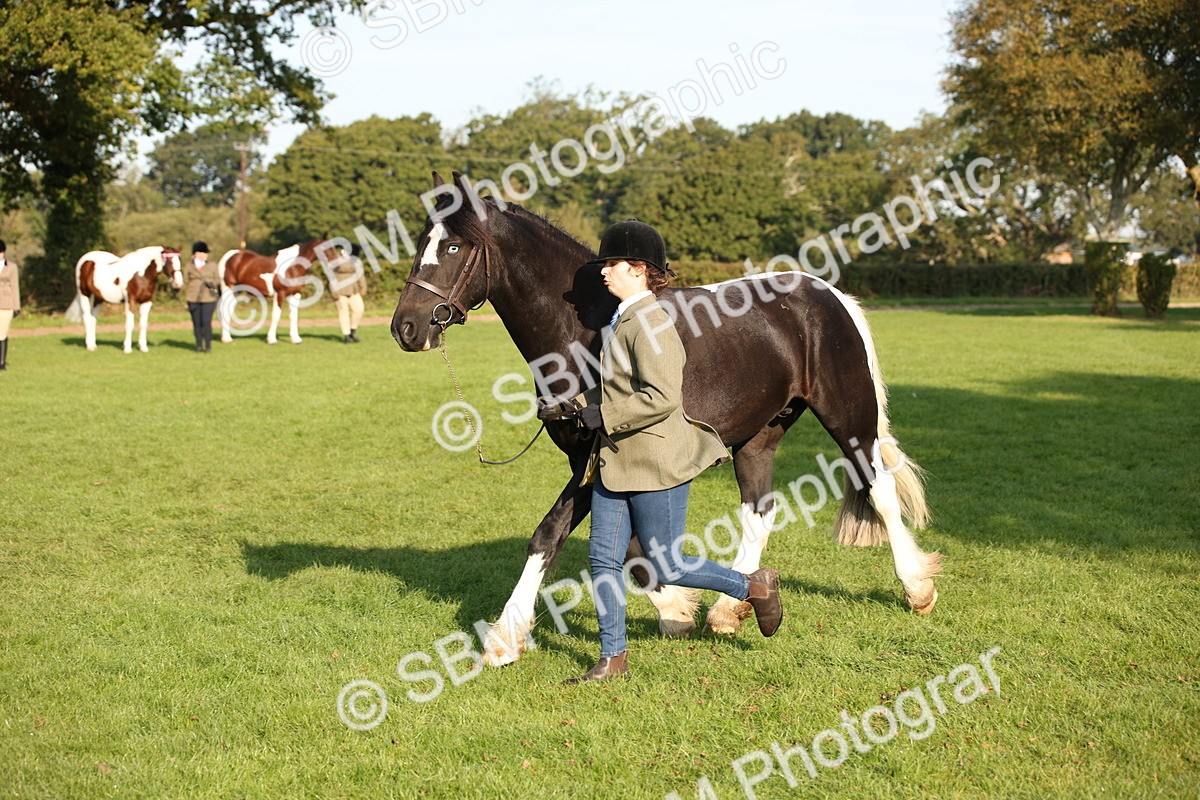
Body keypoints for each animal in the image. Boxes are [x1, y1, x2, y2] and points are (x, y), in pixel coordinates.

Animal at [391, 172, 941, 667]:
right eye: (420, 242)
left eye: (455, 246)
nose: (406, 327)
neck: (585, 332)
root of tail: (829, 295)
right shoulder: (599, 464)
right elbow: (635, 546)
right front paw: (677, 610)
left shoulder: (596, 460)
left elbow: (550, 533)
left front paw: (504, 637)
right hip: (759, 435)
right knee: (759, 511)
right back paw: (729, 609)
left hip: (849, 419)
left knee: (880, 491)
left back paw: (916, 589)